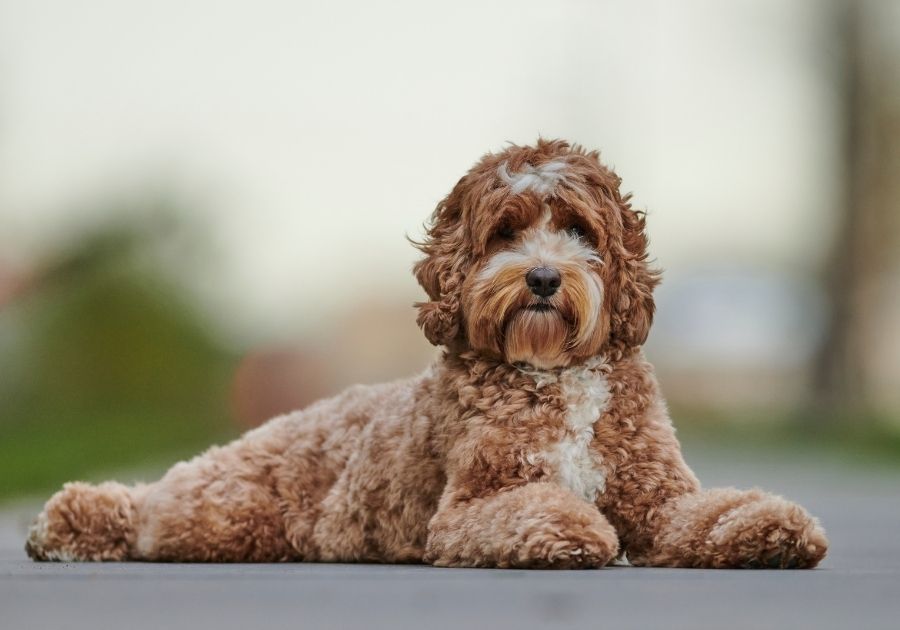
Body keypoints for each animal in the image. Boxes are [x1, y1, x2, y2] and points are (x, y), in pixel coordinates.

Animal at [24, 141, 828, 572]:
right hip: (222, 513)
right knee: (147, 508)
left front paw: (771, 530)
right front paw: (569, 532)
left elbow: (710, 511)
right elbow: (533, 507)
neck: (554, 373)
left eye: (578, 228)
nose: (543, 278)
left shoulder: (656, 495)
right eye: (504, 231)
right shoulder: (472, 505)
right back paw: (64, 523)